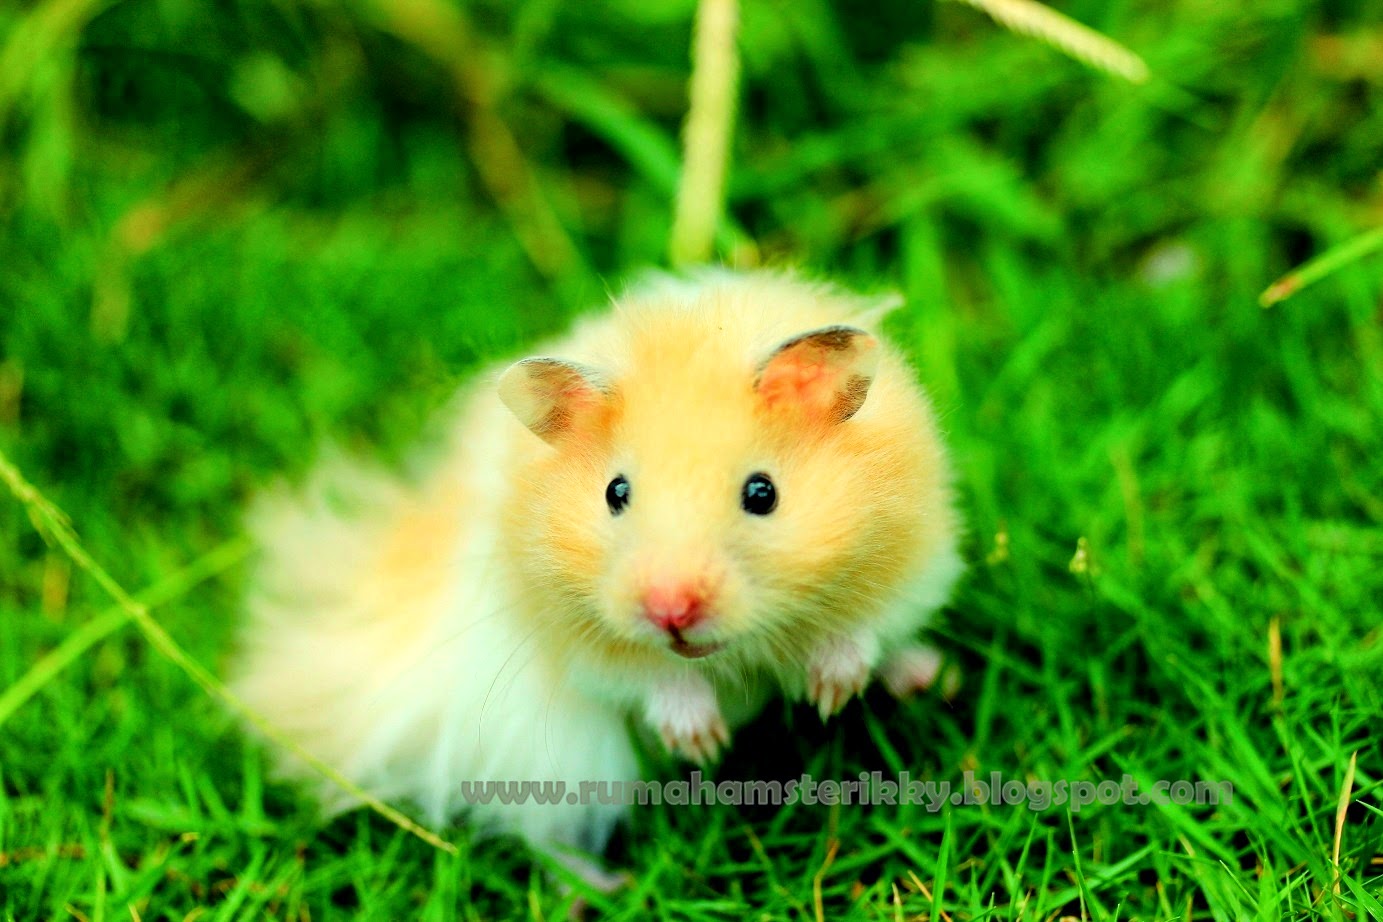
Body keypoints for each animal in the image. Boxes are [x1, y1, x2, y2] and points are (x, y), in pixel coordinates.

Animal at [229, 269, 963, 865]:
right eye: (615, 493)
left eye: (763, 494)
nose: (671, 611)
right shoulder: (577, 641)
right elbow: (647, 675)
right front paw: (703, 743)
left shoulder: (913, 560)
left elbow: (860, 627)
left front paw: (829, 692)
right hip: (550, 757)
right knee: (542, 839)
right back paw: (601, 886)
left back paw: (928, 678)